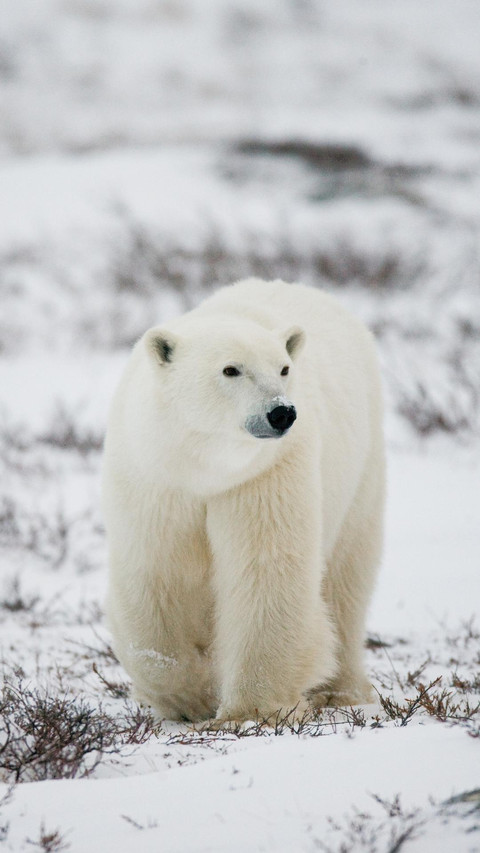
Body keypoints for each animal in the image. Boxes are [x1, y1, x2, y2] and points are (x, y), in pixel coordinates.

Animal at [102, 278, 385, 723]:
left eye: (284, 369)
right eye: (231, 369)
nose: (281, 413)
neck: (205, 468)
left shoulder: (265, 474)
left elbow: (265, 570)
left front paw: (251, 709)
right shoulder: (155, 477)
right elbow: (158, 572)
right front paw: (187, 697)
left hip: (362, 469)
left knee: (346, 579)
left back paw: (343, 691)